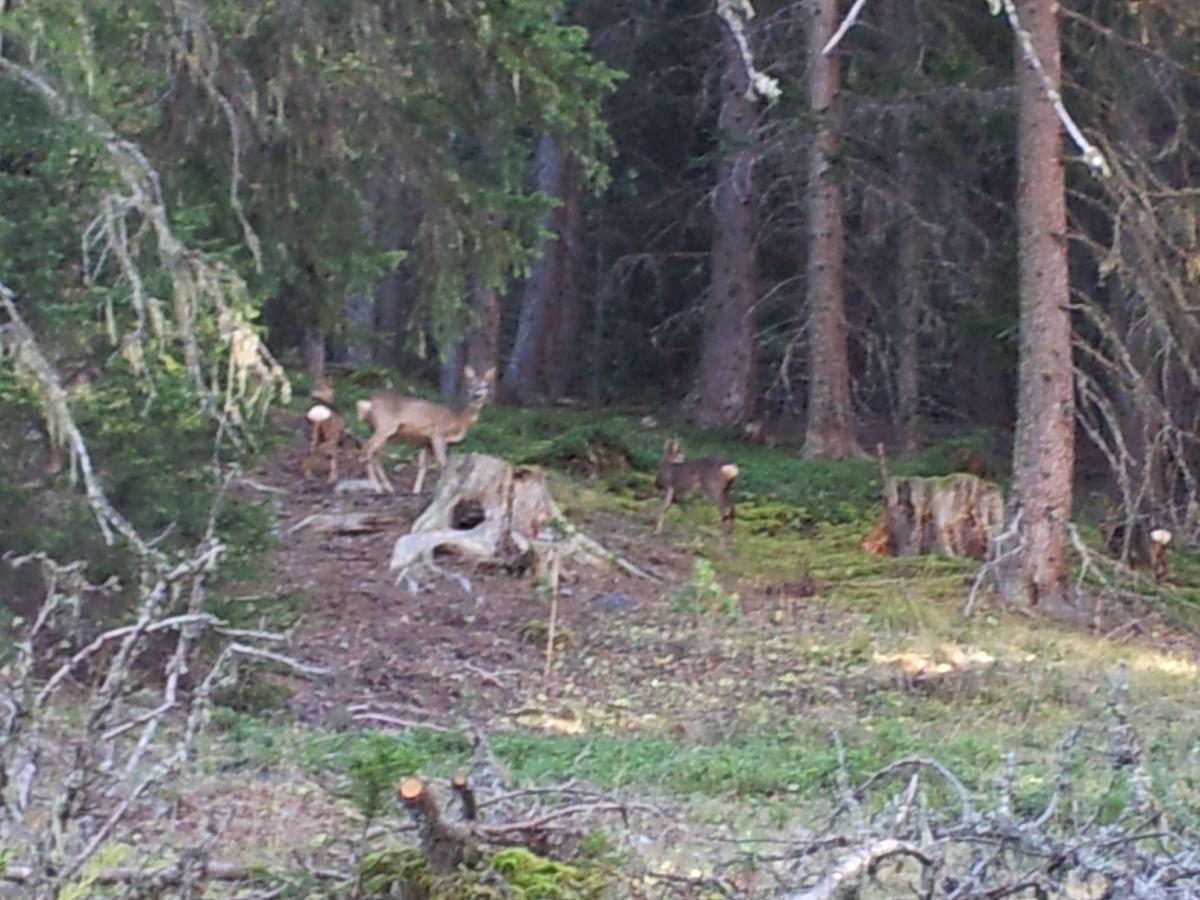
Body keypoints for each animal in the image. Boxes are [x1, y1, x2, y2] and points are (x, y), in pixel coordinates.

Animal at [352, 364, 494, 496]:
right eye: (471, 384)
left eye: (485, 385)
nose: (476, 395)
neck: (459, 420)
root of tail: (369, 403)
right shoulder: (438, 433)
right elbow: (443, 463)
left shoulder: (426, 441)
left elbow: (423, 466)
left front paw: (416, 491)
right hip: (385, 426)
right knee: (366, 450)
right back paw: (377, 488)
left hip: (379, 430)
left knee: (374, 454)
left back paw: (389, 488)